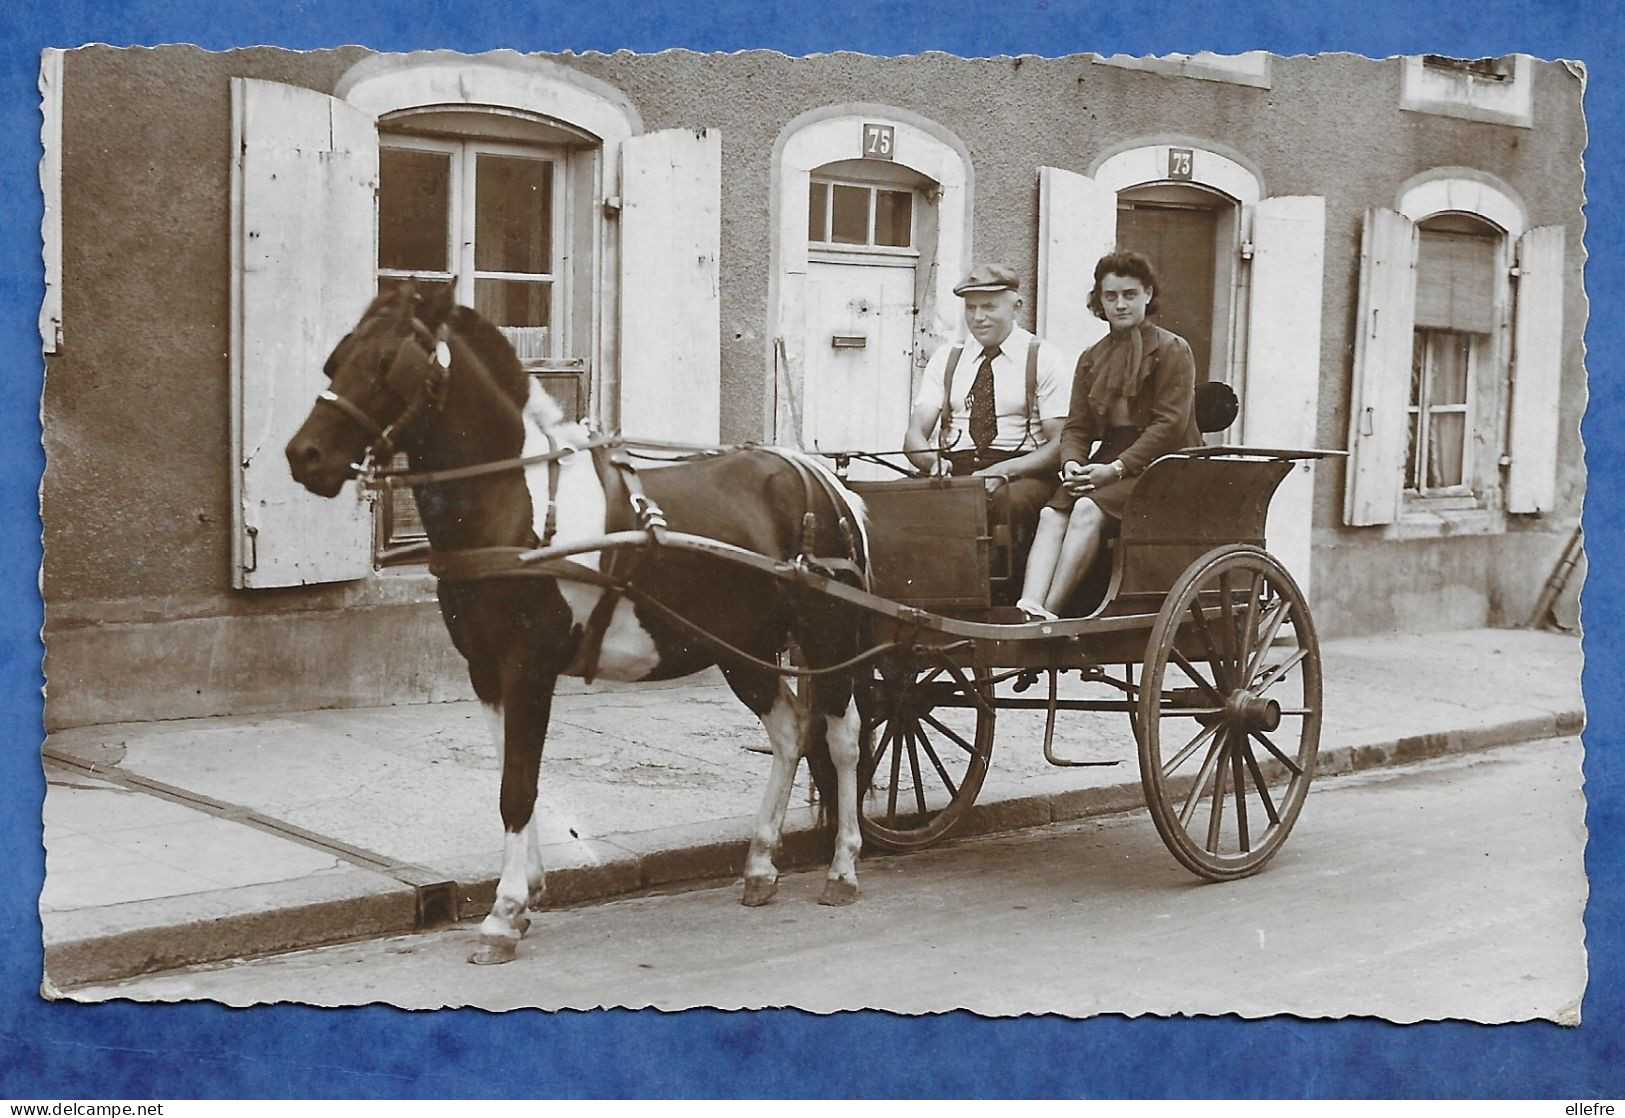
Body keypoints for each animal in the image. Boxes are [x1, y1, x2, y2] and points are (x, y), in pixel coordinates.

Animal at [287, 284, 884, 962]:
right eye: (337, 358)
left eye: (387, 364)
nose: (304, 455)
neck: (514, 509)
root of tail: (824, 480)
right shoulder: (486, 671)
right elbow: (513, 777)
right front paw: (526, 892)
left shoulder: (528, 667)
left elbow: (517, 787)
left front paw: (503, 914)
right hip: (741, 647)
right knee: (789, 732)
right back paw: (759, 865)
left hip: (826, 637)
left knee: (841, 740)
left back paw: (842, 867)